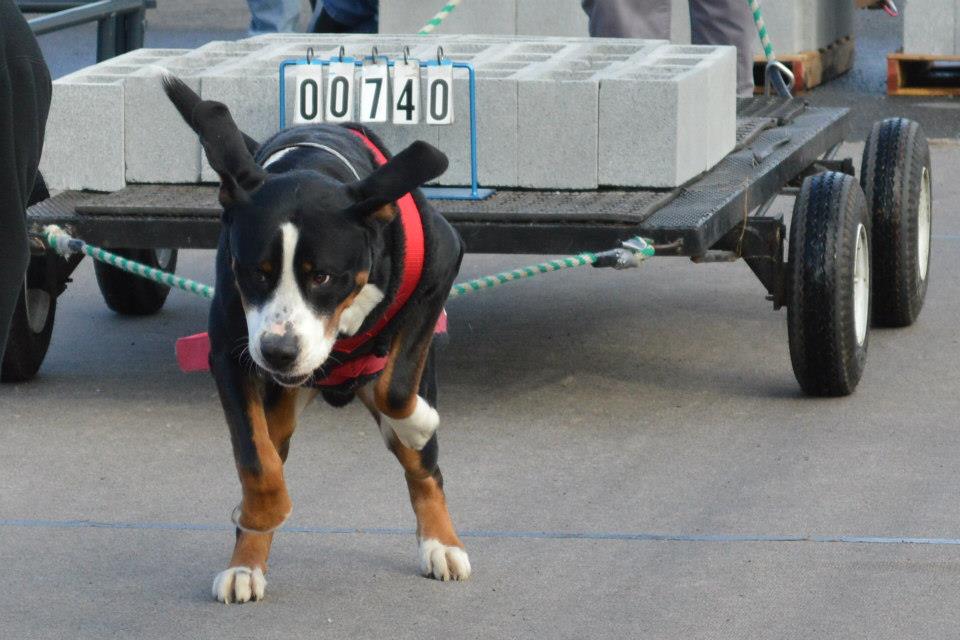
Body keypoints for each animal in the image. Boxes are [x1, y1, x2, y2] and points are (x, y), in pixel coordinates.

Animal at [163, 77, 470, 604]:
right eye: (255, 272)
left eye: (322, 276)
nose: (279, 351)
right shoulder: (228, 351)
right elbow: (256, 460)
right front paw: (259, 517)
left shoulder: (441, 265)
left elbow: (395, 388)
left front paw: (416, 422)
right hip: (277, 397)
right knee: (271, 446)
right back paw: (246, 564)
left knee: (424, 471)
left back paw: (441, 543)